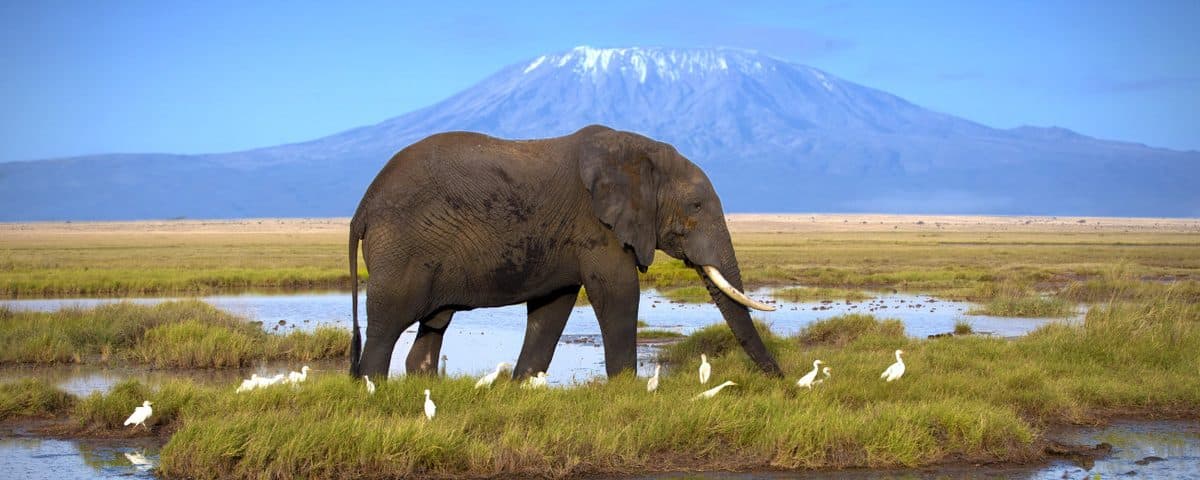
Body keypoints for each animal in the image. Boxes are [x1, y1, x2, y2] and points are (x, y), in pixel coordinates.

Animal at [348, 125, 784, 380]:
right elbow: (618, 292)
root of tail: (362, 207)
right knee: (387, 323)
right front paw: (625, 389)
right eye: (696, 206)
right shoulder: (596, 225)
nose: (781, 383)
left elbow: (552, 307)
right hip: (401, 247)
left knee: (434, 324)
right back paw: (374, 388)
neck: (639, 151)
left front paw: (522, 385)